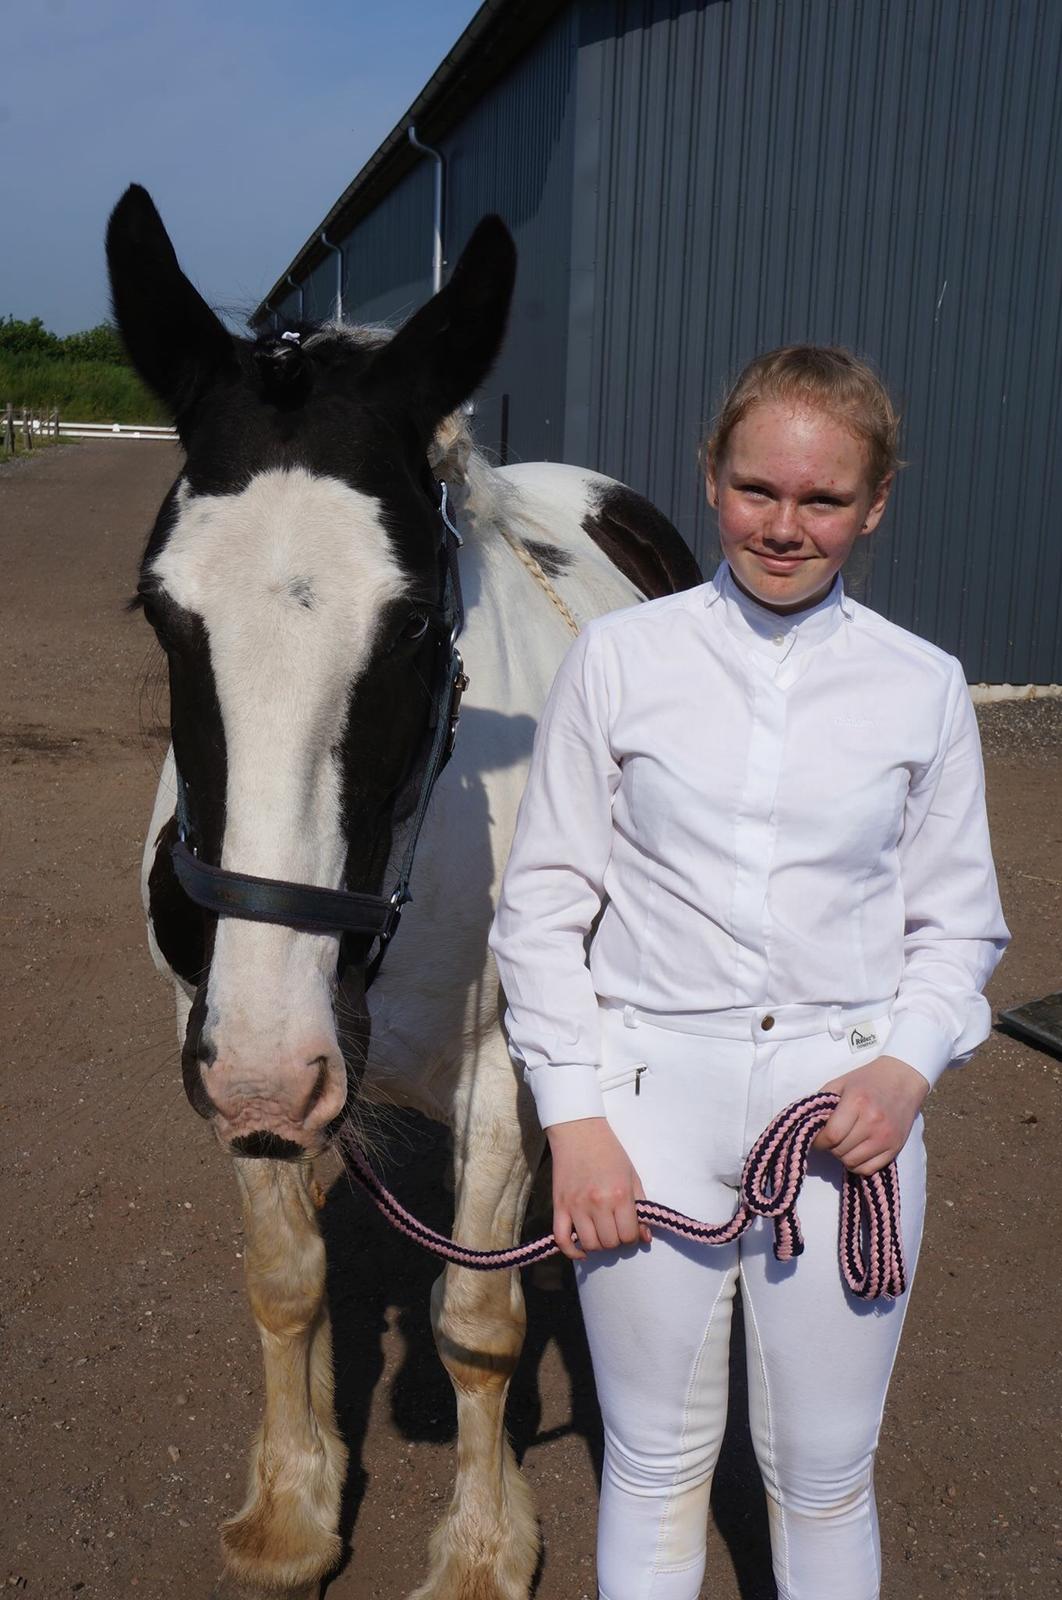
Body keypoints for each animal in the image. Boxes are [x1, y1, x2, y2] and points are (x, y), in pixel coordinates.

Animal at [107, 181, 700, 1593]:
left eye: (422, 623)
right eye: (159, 611)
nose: (277, 1064)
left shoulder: (501, 1068)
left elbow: (477, 1316)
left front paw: (482, 1547)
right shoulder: (219, 1037)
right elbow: (286, 1275)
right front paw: (293, 1506)